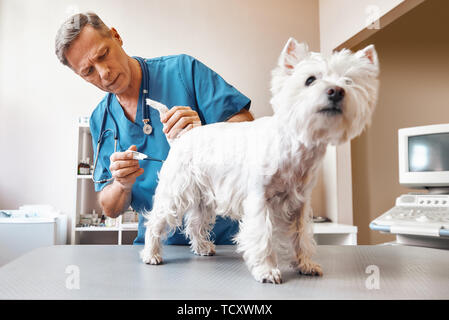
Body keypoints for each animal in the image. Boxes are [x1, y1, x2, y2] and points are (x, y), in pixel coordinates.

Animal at [140, 36, 378, 284]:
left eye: (349, 81)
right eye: (310, 80)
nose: (336, 91)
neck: (295, 146)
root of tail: (182, 137)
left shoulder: (300, 203)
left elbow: (301, 235)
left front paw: (306, 264)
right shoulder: (259, 199)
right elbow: (263, 236)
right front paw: (267, 271)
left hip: (203, 197)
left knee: (195, 223)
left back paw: (203, 247)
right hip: (175, 191)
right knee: (156, 221)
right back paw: (151, 254)